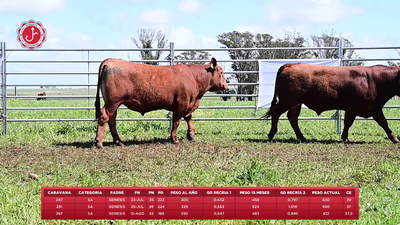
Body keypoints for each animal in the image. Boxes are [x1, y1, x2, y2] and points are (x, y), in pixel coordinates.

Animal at [93, 57, 228, 148]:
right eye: (221, 72)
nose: (226, 85)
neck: (194, 78)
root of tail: (111, 60)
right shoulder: (181, 104)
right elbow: (176, 122)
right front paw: (174, 139)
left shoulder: (188, 104)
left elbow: (188, 118)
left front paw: (191, 135)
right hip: (113, 102)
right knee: (104, 116)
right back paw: (99, 142)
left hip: (114, 103)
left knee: (112, 120)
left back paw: (119, 141)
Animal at [266, 62, 400, 144]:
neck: (373, 80)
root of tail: (289, 64)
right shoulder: (356, 108)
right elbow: (351, 122)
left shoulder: (372, 108)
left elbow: (382, 122)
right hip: (287, 101)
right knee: (276, 112)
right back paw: (271, 134)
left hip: (295, 103)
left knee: (292, 117)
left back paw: (301, 137)